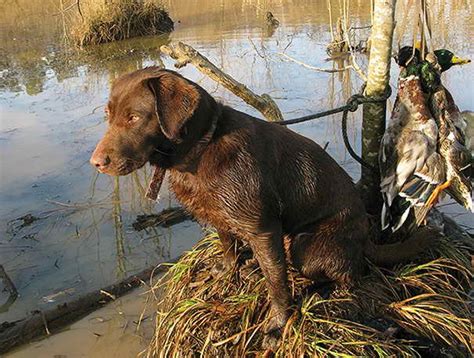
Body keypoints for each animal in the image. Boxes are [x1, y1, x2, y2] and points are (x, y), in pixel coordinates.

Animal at [90, 68, 430, 346]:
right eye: (109, 114)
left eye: (134, 117)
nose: (97, 163)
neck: (202, 147)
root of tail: (365, 237)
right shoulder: (222, 219)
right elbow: (228, 245)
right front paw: (227, 270)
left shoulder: (263, 230)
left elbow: (276, 283)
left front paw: (277, 325)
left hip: (307, 247)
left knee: (349, 272)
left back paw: (326, 290)